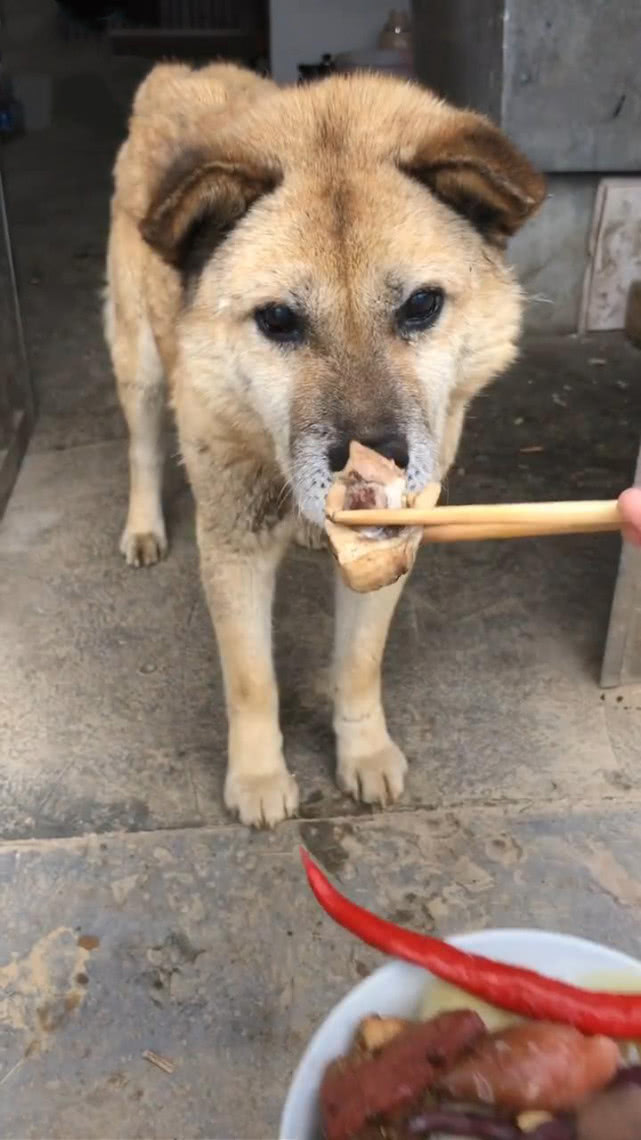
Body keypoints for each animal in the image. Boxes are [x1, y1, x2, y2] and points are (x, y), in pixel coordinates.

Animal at [104, 60, 542, 829]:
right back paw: (144, 525)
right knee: (143, 447)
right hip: (141, 361)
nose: (379, 464)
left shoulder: (387, 550)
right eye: (278, 319)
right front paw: (257, 777)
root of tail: (183, 71)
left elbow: (359, 666)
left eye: (421, 305)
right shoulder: (234, 546)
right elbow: (251, 681)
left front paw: (362, 753)